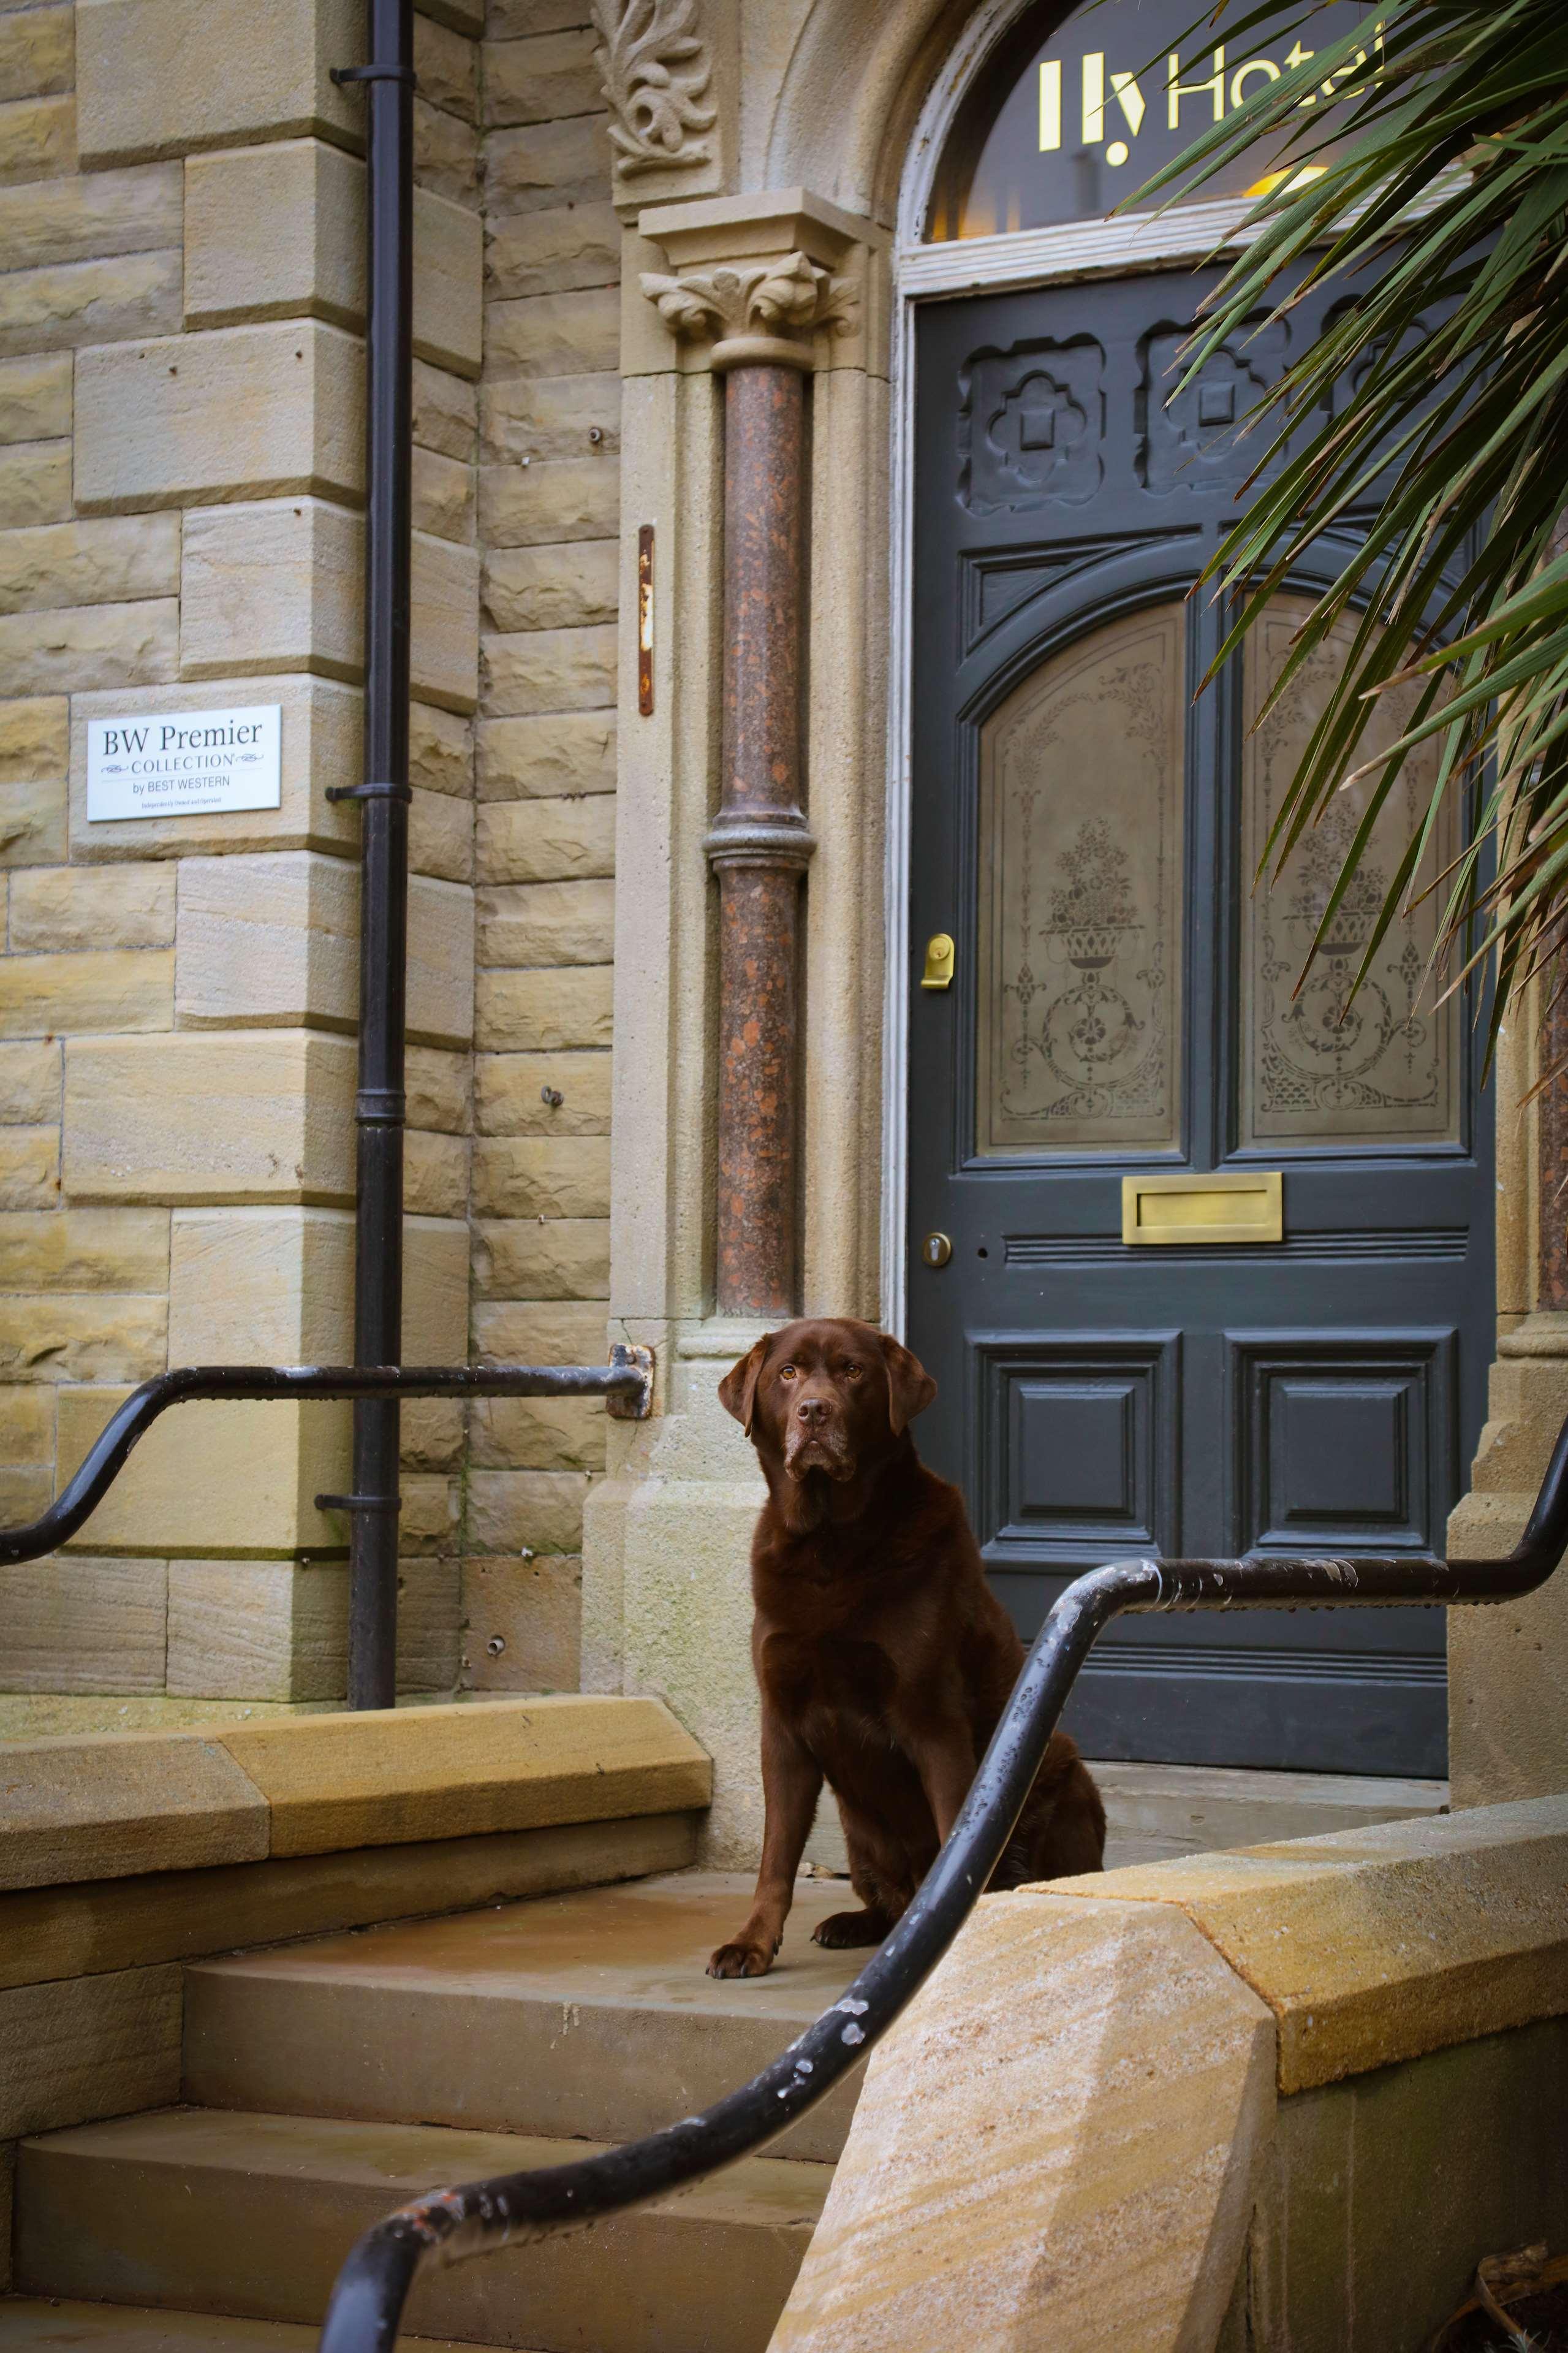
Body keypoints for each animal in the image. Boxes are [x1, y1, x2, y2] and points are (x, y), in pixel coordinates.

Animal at [710, 1317, 1105, 1976]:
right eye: (788, 1373)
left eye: (852, 1371)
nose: (814, 1411)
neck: (829, 1548)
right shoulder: (782, 1725)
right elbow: (776, 1857)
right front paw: (751, 1943)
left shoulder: (930, 1714)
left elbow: (954, 1838)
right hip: (857, 1829)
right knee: (886, 1898)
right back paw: (852, 1923)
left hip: (1065, 1776)